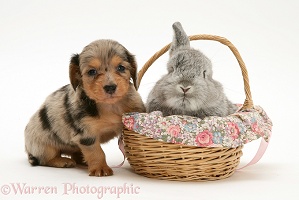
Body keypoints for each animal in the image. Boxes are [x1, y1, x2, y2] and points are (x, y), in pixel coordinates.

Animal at [24, 39, 145, 177]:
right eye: (92, 72)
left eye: (121, 67)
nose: (110, 87)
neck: (109, 106)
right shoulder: (86, 134)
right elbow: (96, 152)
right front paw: (100, 168)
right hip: (44, 147)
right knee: (45, 159)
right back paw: (62, 161)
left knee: (76, 154)